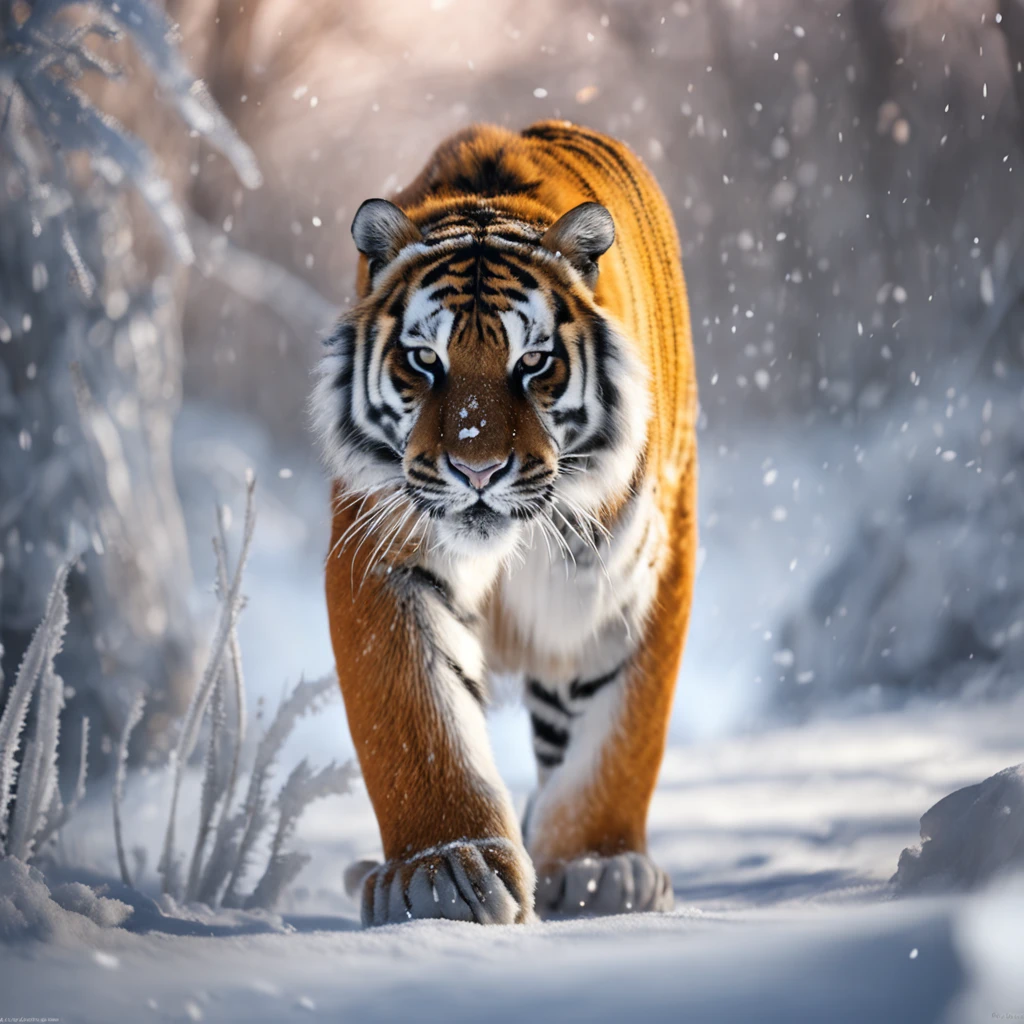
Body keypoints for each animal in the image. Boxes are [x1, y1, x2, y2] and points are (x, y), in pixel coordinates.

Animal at [314, 120, 697, 926]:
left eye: (534, 362)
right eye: (424, 359)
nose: (478, 470)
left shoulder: (641, 572)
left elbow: (624, 731)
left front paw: (598, 868)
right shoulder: (385, 556)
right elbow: (419, 721)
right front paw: (441, 874)